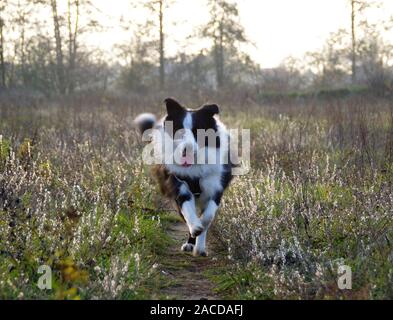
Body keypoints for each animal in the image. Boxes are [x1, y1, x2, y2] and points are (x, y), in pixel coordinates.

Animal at [135, 98, 233, 258]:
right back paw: (190, 242)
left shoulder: (216, 187)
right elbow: (188, 210)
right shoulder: (178, 185)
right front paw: (195, 228)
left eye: (198, 131)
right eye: (179, 131)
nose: (187, 148)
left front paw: (200, 243)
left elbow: (207, 217)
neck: (194, 166)